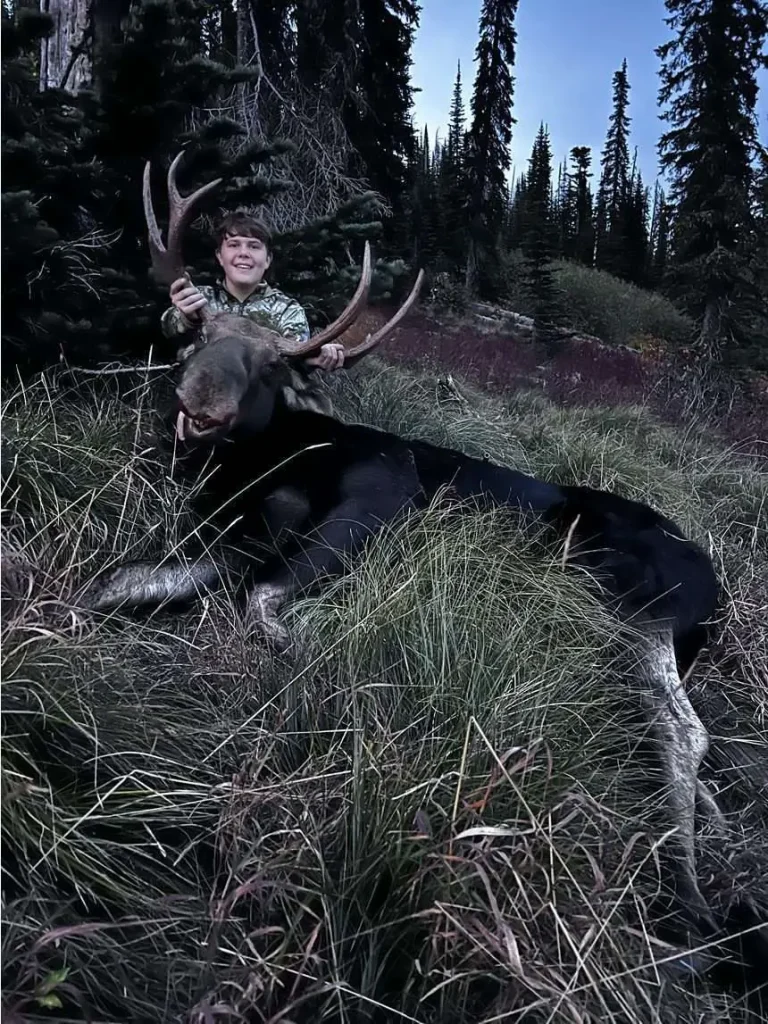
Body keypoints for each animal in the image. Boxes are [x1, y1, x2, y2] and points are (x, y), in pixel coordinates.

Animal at [79, 152, 767, 999]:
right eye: (199, 331)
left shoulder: (377, 497)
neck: (260, 463)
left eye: (271, 364)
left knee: (682, 727)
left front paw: (331, 684)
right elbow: (119, 584)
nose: (198, 407)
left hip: (627, 594)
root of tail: (717, 589)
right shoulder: (228, 542)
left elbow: (267, 605)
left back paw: (690, 899)